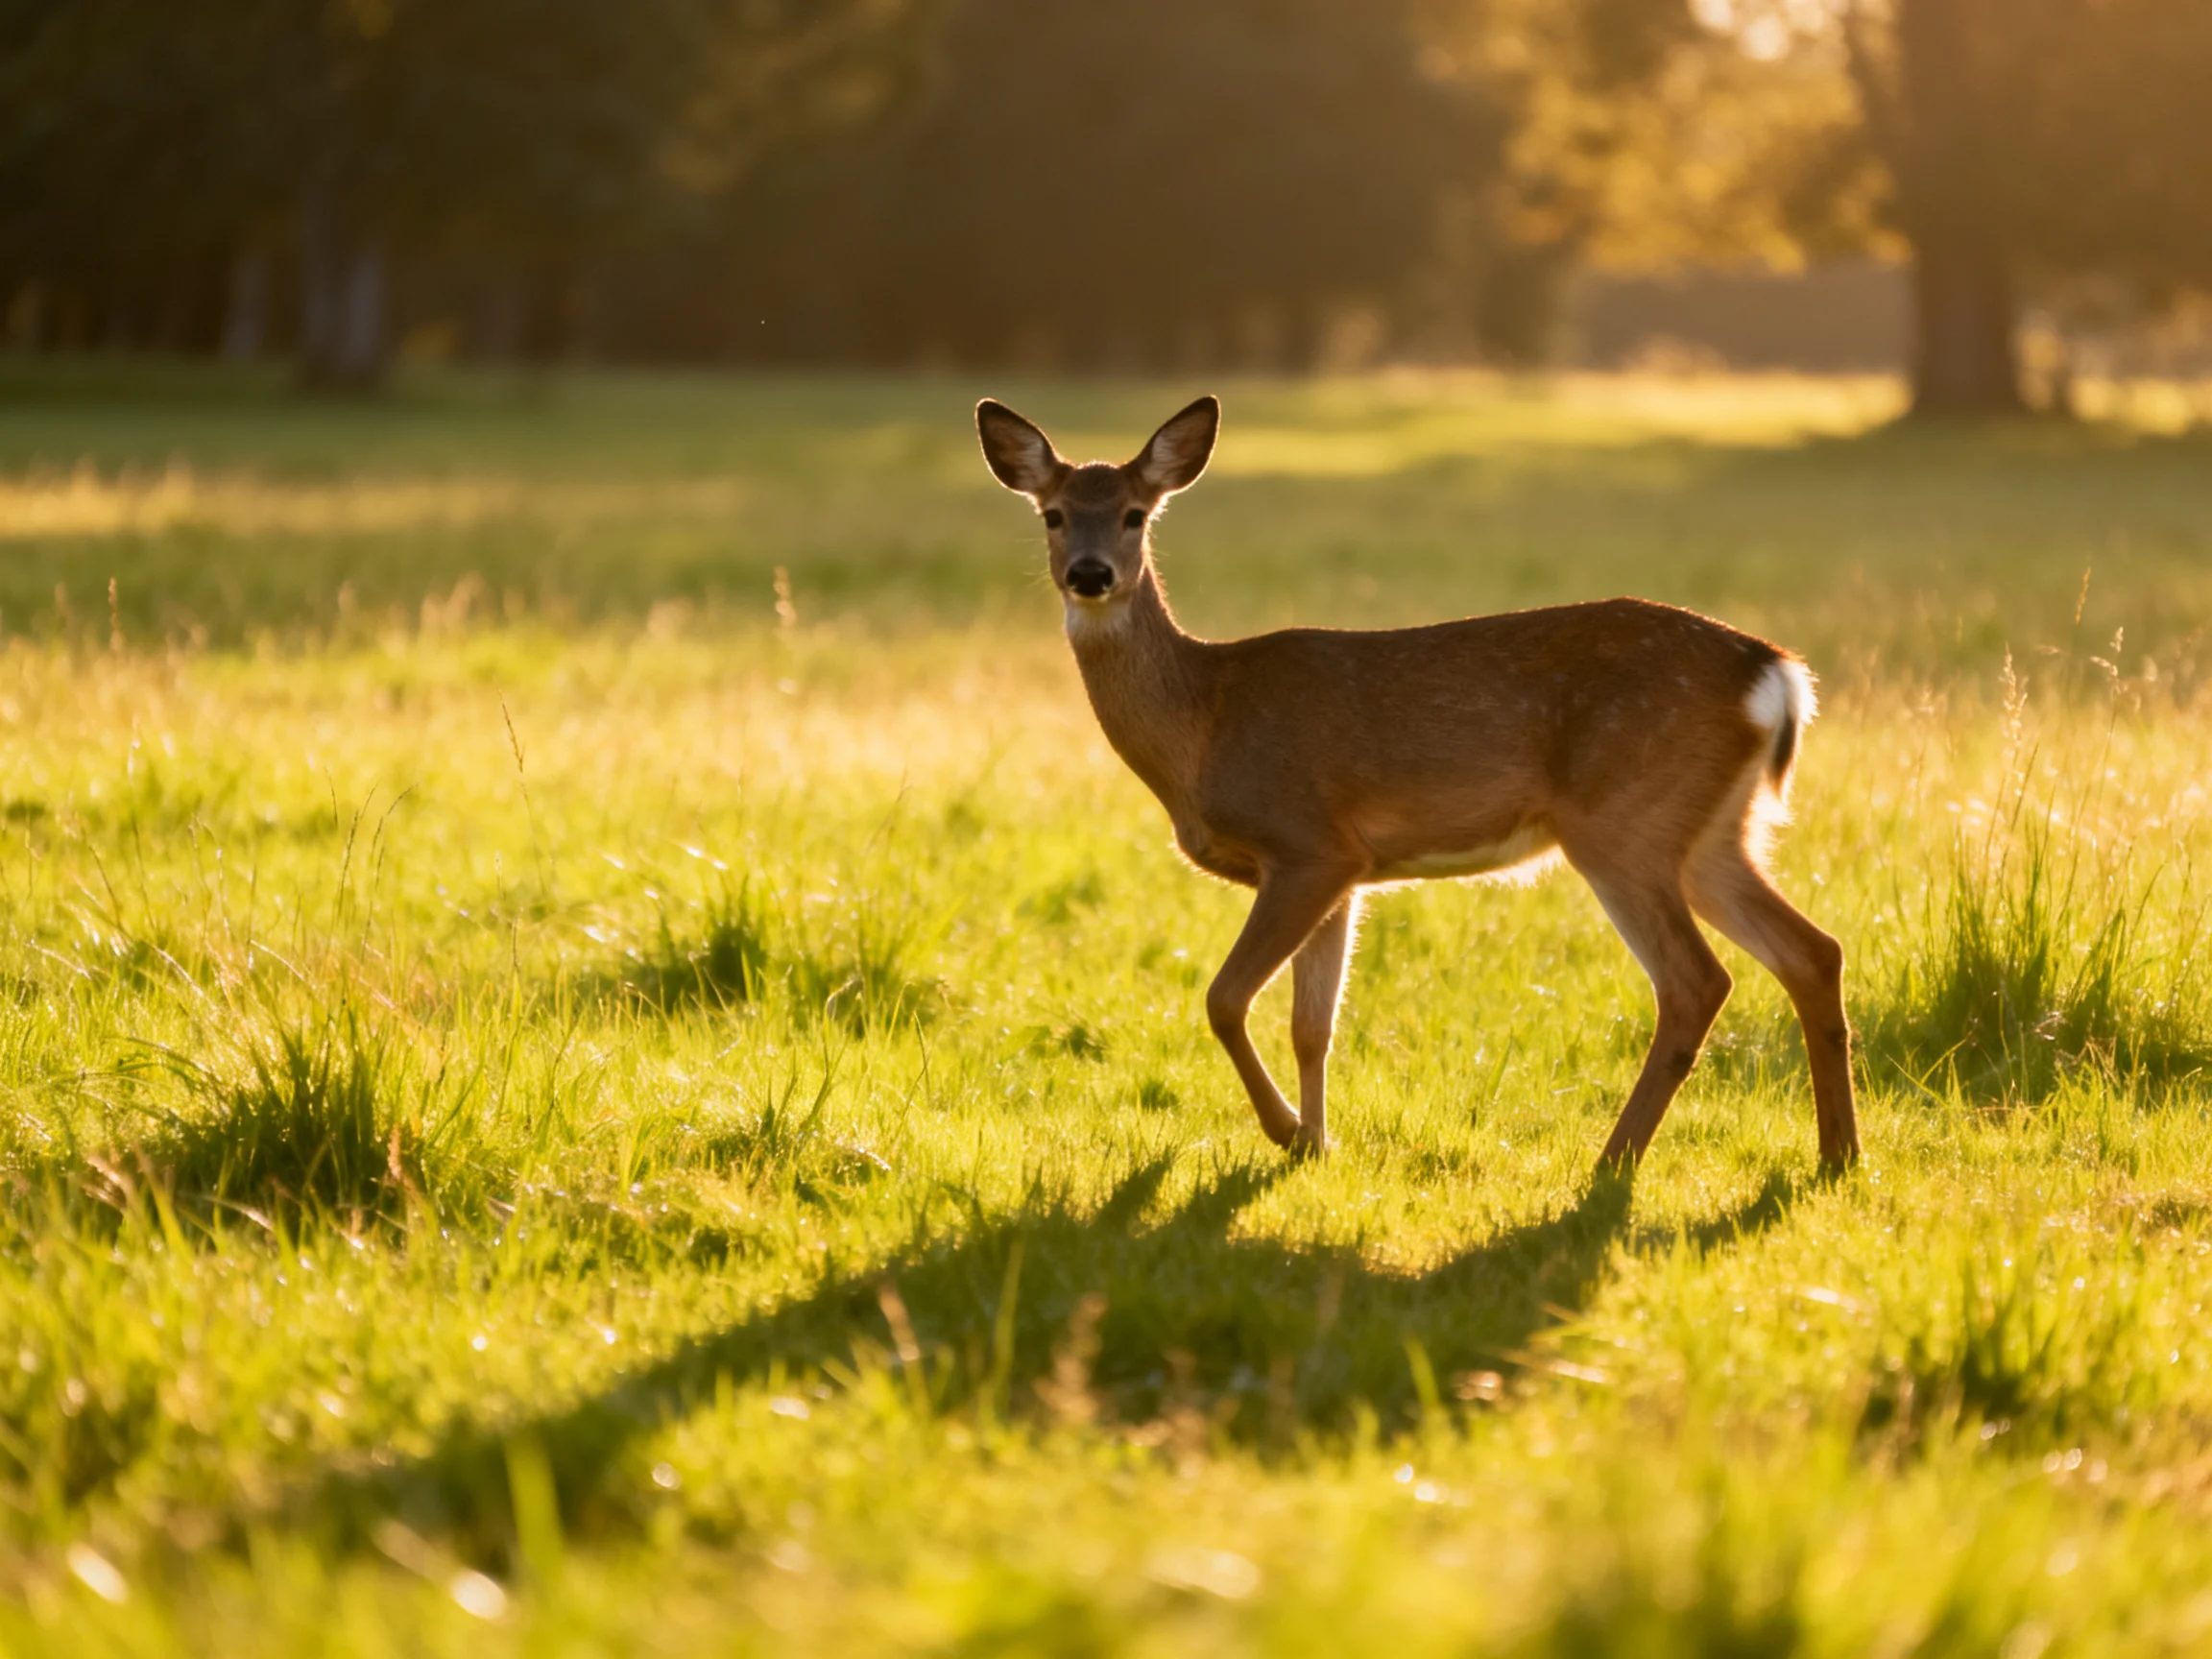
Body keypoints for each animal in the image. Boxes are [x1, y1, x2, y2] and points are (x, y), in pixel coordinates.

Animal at [975, 394, 1859, 1173]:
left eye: (1135, 514)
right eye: (1053, 515)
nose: (1091, 574)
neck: (1204, 722)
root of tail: (1776, 674)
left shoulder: (1310, 844)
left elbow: (1225, 999)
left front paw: (1285, 1130)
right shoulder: (1345, 875)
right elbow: (1313, 1024)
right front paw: (1317, 1143)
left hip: (1625, 820)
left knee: (1696, 982)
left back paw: (1613, 1160)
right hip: (1712, 832)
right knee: (1813, 951)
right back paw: (1837, 1155)